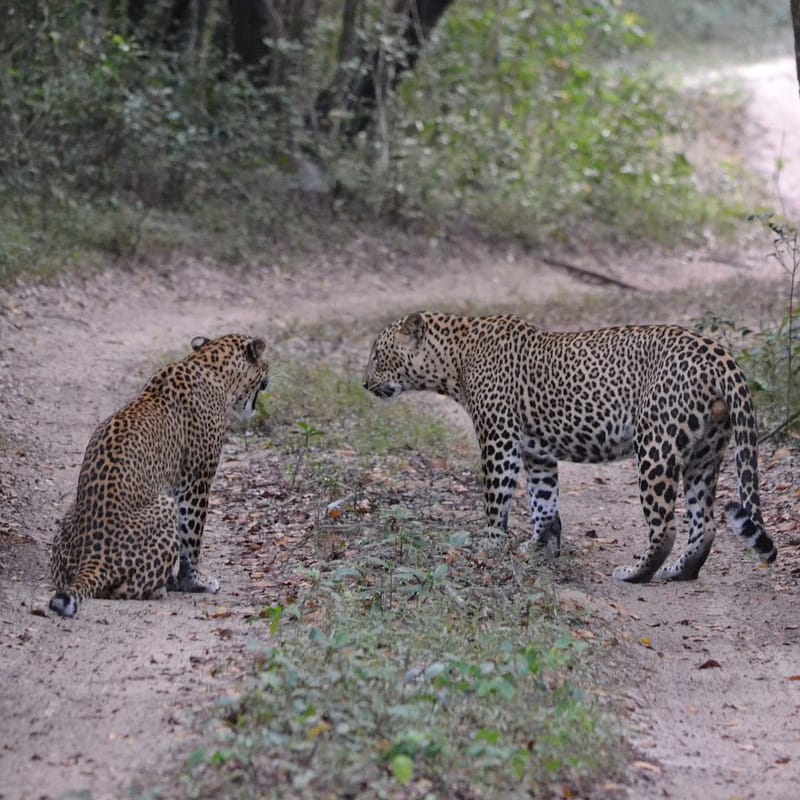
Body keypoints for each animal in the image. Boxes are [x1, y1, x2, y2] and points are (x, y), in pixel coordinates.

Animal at [49, 333, 270, 617]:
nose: (270, 371)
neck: (210, 365)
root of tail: (93, 556)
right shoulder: (196, 481)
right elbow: (192, 538)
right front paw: (195, 582)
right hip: (165, 506)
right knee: (123, 589)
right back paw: (160, 589)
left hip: (69, 522)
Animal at [363, 312, 777, 583]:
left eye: (378, 354)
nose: (363, 383)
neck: (453, 359)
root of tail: (719, 354)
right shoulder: (537, 453)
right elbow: (544, 505)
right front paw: (541, 550)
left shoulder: (499, 440)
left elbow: (496, 500)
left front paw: (489, 546)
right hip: (705, 453)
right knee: (704, 523)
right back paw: (680, 572)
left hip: (656, 446)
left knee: (665, 526)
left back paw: (635, 573)